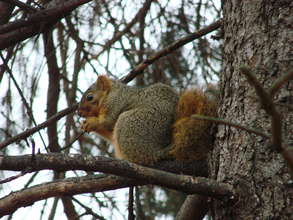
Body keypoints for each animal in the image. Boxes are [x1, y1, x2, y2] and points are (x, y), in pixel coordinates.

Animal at [77, 75, 217, 164]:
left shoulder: (116, 103)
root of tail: (158, 150)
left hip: (129, 123)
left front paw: (92, 122)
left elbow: (108, 122)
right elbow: (109, 133)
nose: (79, 113)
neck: (112, 93)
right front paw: (84, 125)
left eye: (90, 97)